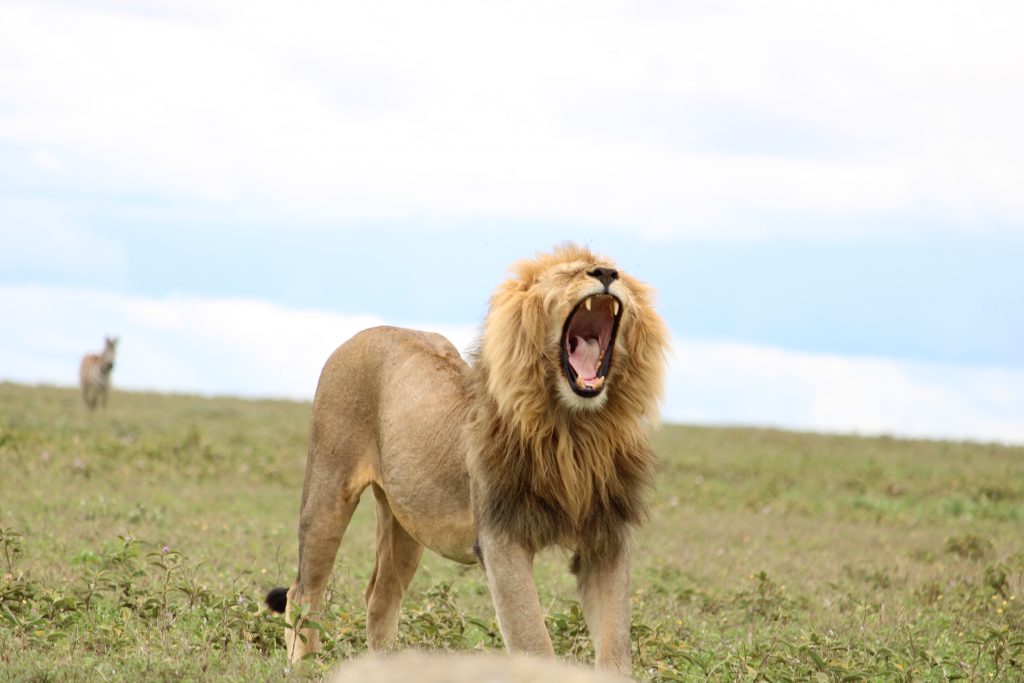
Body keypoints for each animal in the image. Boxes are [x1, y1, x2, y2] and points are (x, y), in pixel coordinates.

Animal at [266, 244, 669, 676]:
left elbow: (616, 647)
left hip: (406, 521)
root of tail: (366, 332)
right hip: (328, 492)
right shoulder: (500, 538)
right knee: (303, 590)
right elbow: (532, 639)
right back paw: (303, 665)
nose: (607, 274)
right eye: (569, 273)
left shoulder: (605, 539)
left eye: (618, 272)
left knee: (380, 598)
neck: (574, 430)